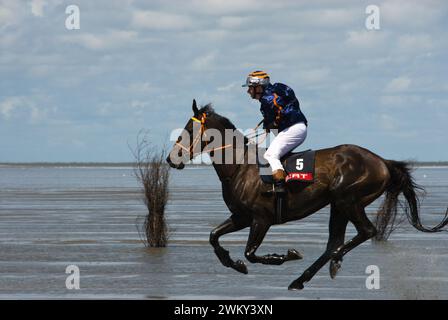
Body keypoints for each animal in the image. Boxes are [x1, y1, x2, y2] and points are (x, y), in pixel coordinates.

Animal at [165, 100, 448, 290]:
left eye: (188, 129)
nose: (170, 159)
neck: (240, 167)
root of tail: (382, 162)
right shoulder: (242, 216)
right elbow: (214, 237)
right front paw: (234, 264)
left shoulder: (261, 219)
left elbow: (251, 253)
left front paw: (284, 256)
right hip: (338, 205)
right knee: (334, 242)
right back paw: (303, 278)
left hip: (348, 199)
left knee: (365, 232)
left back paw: (332, 262)